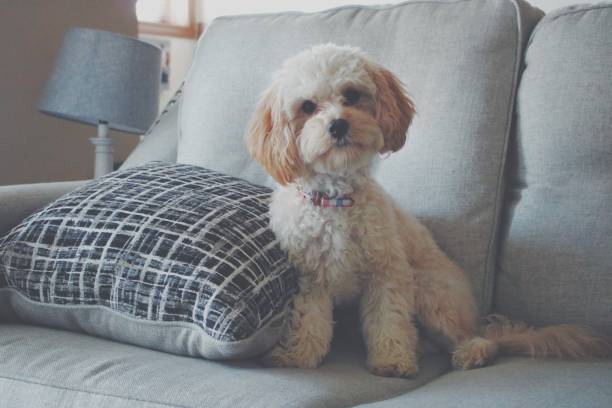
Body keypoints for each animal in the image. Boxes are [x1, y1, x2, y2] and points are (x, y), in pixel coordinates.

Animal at [243, 43, 608, 376]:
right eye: (307, 106)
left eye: (352, 95)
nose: (338, 125)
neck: (336, 199)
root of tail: (475, 316)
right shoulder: (309, 279)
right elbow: (310, 322)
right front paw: (299, 357)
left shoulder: (387, 273)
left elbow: (388, 320)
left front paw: (392, 361)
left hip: (429, 290)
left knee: (475, 338)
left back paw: (471, 353)